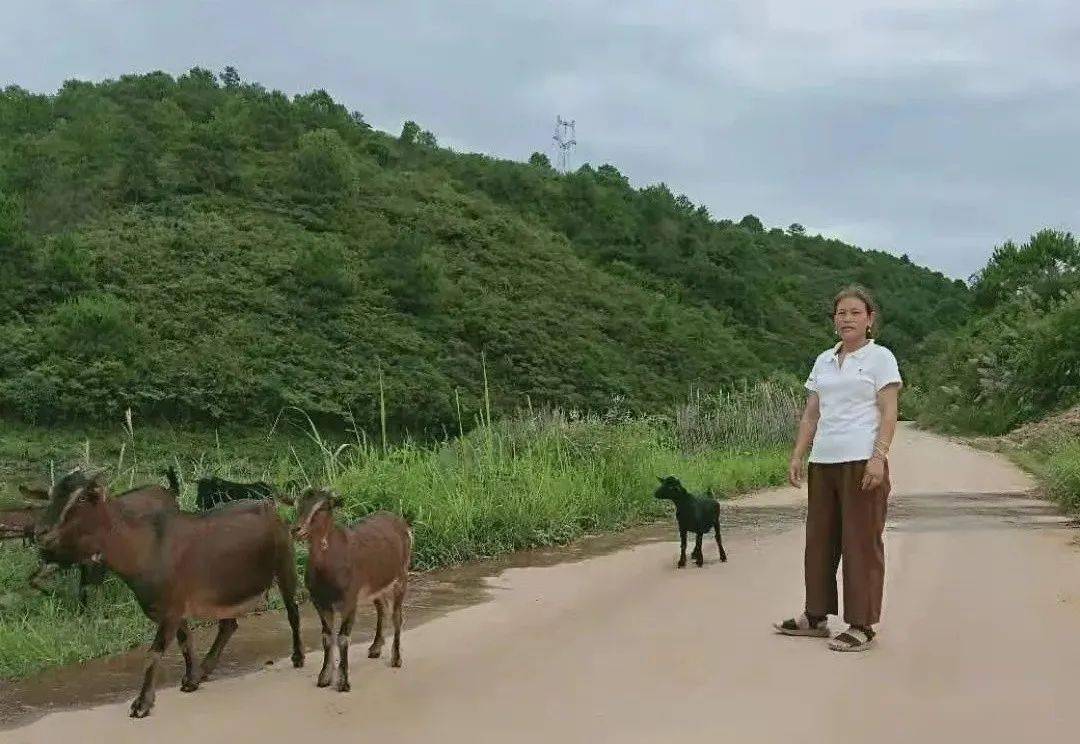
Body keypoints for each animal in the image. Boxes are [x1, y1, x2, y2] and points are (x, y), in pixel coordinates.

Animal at [39, 466, 302, 717]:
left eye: (81, 498)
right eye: (54, 495)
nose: (43, 534)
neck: (144, 546)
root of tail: (268, 505)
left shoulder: (171, 609)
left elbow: (154, 652)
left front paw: (142, 704)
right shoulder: (173, 609)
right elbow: (185, 641)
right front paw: (191, 680)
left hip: (285, 564)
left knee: (292, 610)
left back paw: (298, 657)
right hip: (227, 590)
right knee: (229, 625)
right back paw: (205, 669)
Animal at [289, 488, 410, 691]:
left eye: (323, 507)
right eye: (297, 504)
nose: (296, 529)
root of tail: (400, 522)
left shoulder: (349, 599)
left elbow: (343, 637)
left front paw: (343, 681)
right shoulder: (320, 601)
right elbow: (327, 636)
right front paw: (324, 677)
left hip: (401, 575)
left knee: (397, 615)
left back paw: (396, 658)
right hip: (376, 584)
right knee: (382, 607)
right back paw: (375, 648)